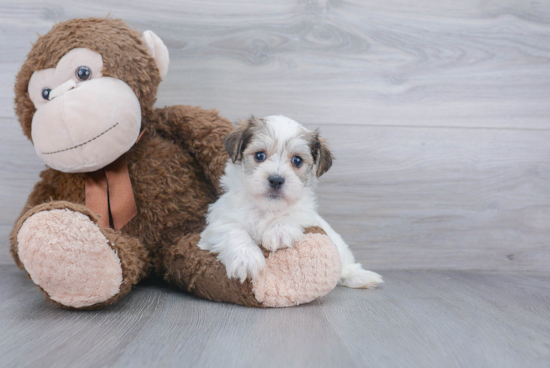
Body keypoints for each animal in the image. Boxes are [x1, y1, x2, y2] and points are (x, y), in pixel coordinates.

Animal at [198, 116, 384, 288]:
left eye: (297, 160)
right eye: (260, 155)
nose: (276, 180)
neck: (266, 208)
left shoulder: (308, 215)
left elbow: (294, 213)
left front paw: (280, 231)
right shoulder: (218, 223)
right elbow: (233, 231)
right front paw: (246, 259)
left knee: (344, 267)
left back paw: (361, 277)